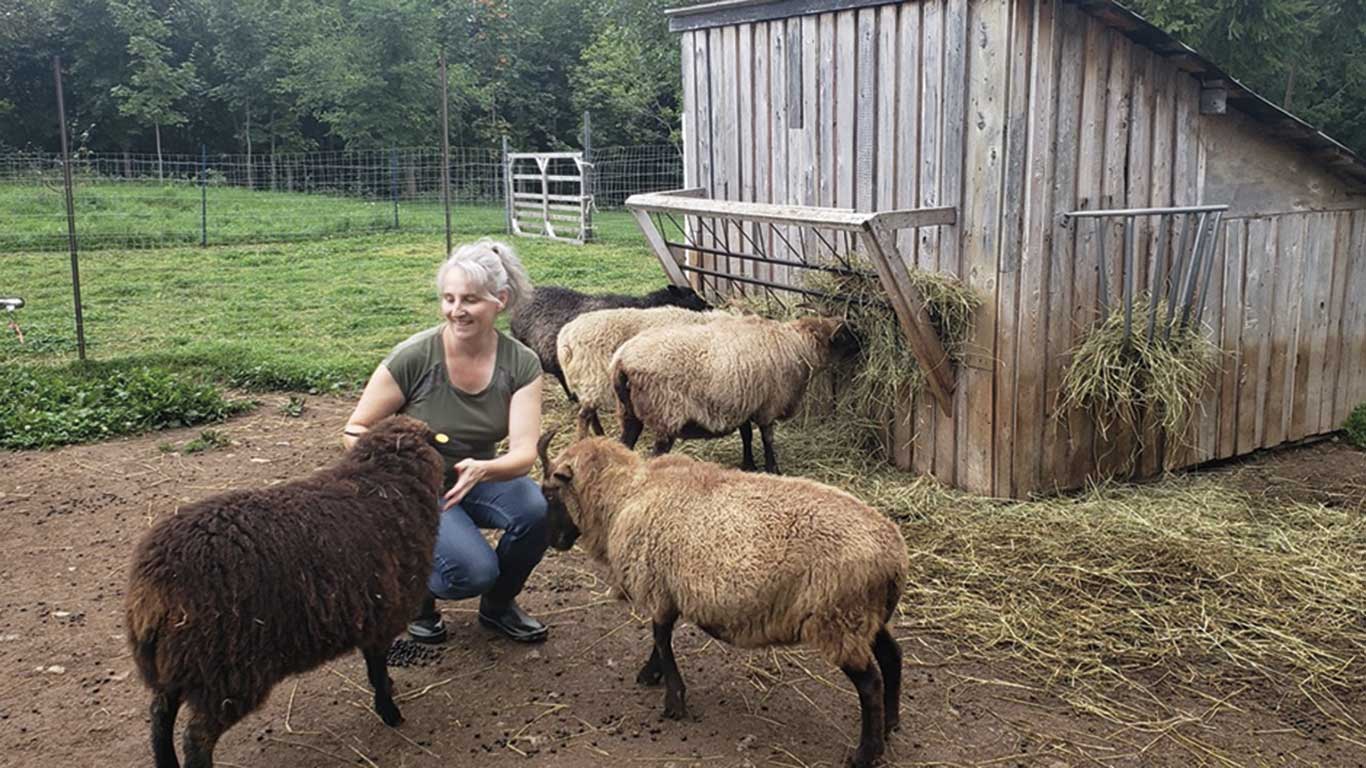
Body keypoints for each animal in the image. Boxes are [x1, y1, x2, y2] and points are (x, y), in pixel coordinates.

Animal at [124, 412, 445, 765]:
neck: (385, 483)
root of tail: (152, 586)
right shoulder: (383, 615)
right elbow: (376, 668)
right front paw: (389, 712)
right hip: (226, 671)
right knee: (196, 737)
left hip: (175, 663)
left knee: (159, 714)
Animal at [532, 431, 907, 765]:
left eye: (549, 493)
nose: (553, 542)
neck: (626, 495)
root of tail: (895, 554)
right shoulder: (666, 591)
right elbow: (660, 639)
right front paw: (651, 675)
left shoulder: (657, 587)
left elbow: (661, 638)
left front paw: (673, 701)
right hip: (865, 617)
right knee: (892, 657)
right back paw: (890, 725)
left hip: (838, 618)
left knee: (870, 683)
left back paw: (866, 753)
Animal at [614, 312, 857, 472]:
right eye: (847, 336)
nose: (862, 347)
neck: (798, 345)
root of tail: (622, 361)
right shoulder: (768, 405)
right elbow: (768, 439)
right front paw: (773, 468)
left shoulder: (745, 402)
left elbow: (747, 435)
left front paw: (748, 464)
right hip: (666, 415)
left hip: (629, 413)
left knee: (624, 444)